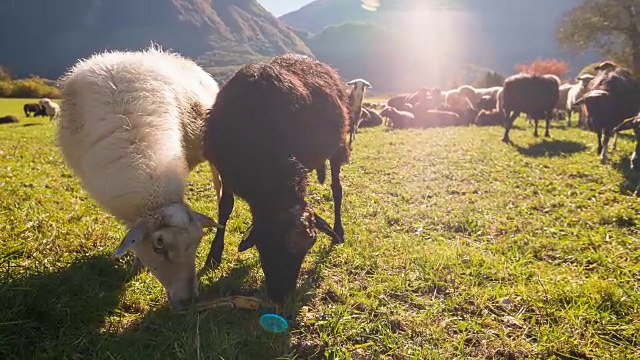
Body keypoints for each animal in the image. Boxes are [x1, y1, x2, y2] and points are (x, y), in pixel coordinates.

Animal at [202, 53, 348, 302]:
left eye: (310, 245)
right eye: (265, 243)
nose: (281, 296)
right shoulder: (226, 169)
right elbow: (225, 207)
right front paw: (214, 255)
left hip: (338, 147)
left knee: (336, 189)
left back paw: (338, 230)